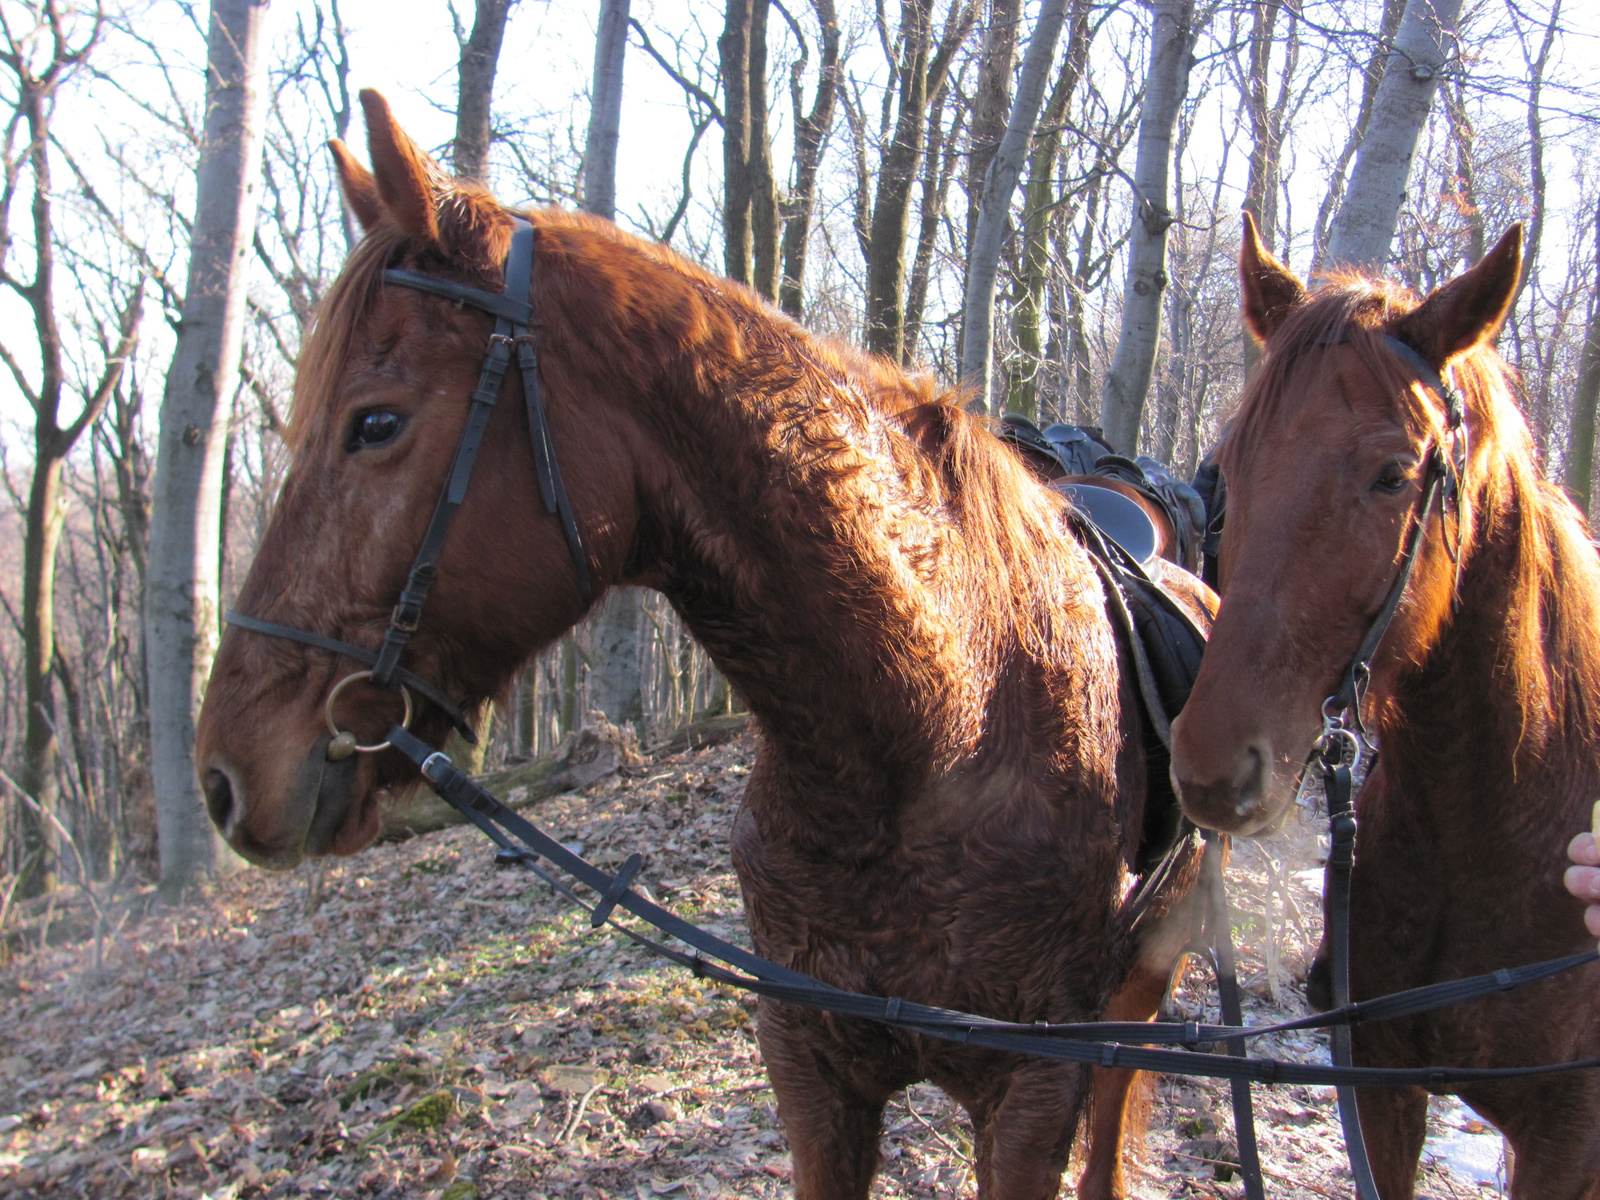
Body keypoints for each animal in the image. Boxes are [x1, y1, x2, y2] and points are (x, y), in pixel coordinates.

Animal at [196, 94, 1203, 1200]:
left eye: (373, 424)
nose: (223, 776)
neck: (933, 731)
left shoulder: (1030, 1095)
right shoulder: (811, 1071)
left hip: (1142, 990)